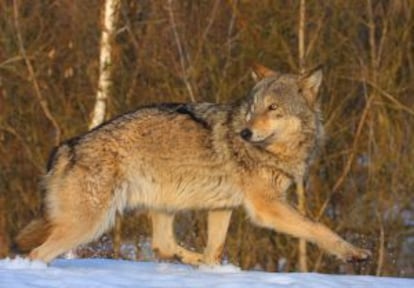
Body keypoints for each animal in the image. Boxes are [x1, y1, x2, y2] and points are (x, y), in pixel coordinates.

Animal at [17, 63, 372, 266]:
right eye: (253, 109)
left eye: (273, 108)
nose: (245, 132)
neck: (275, 151)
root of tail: (66, 147)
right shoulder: (267, 207)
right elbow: (318, 228)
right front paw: (353, 253)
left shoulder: (222, 208)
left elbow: (215, 249)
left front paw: (211, 268)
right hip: (91, 224)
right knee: (37, 254)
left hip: (162, 206)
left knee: (163, 246)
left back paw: (192, 259)